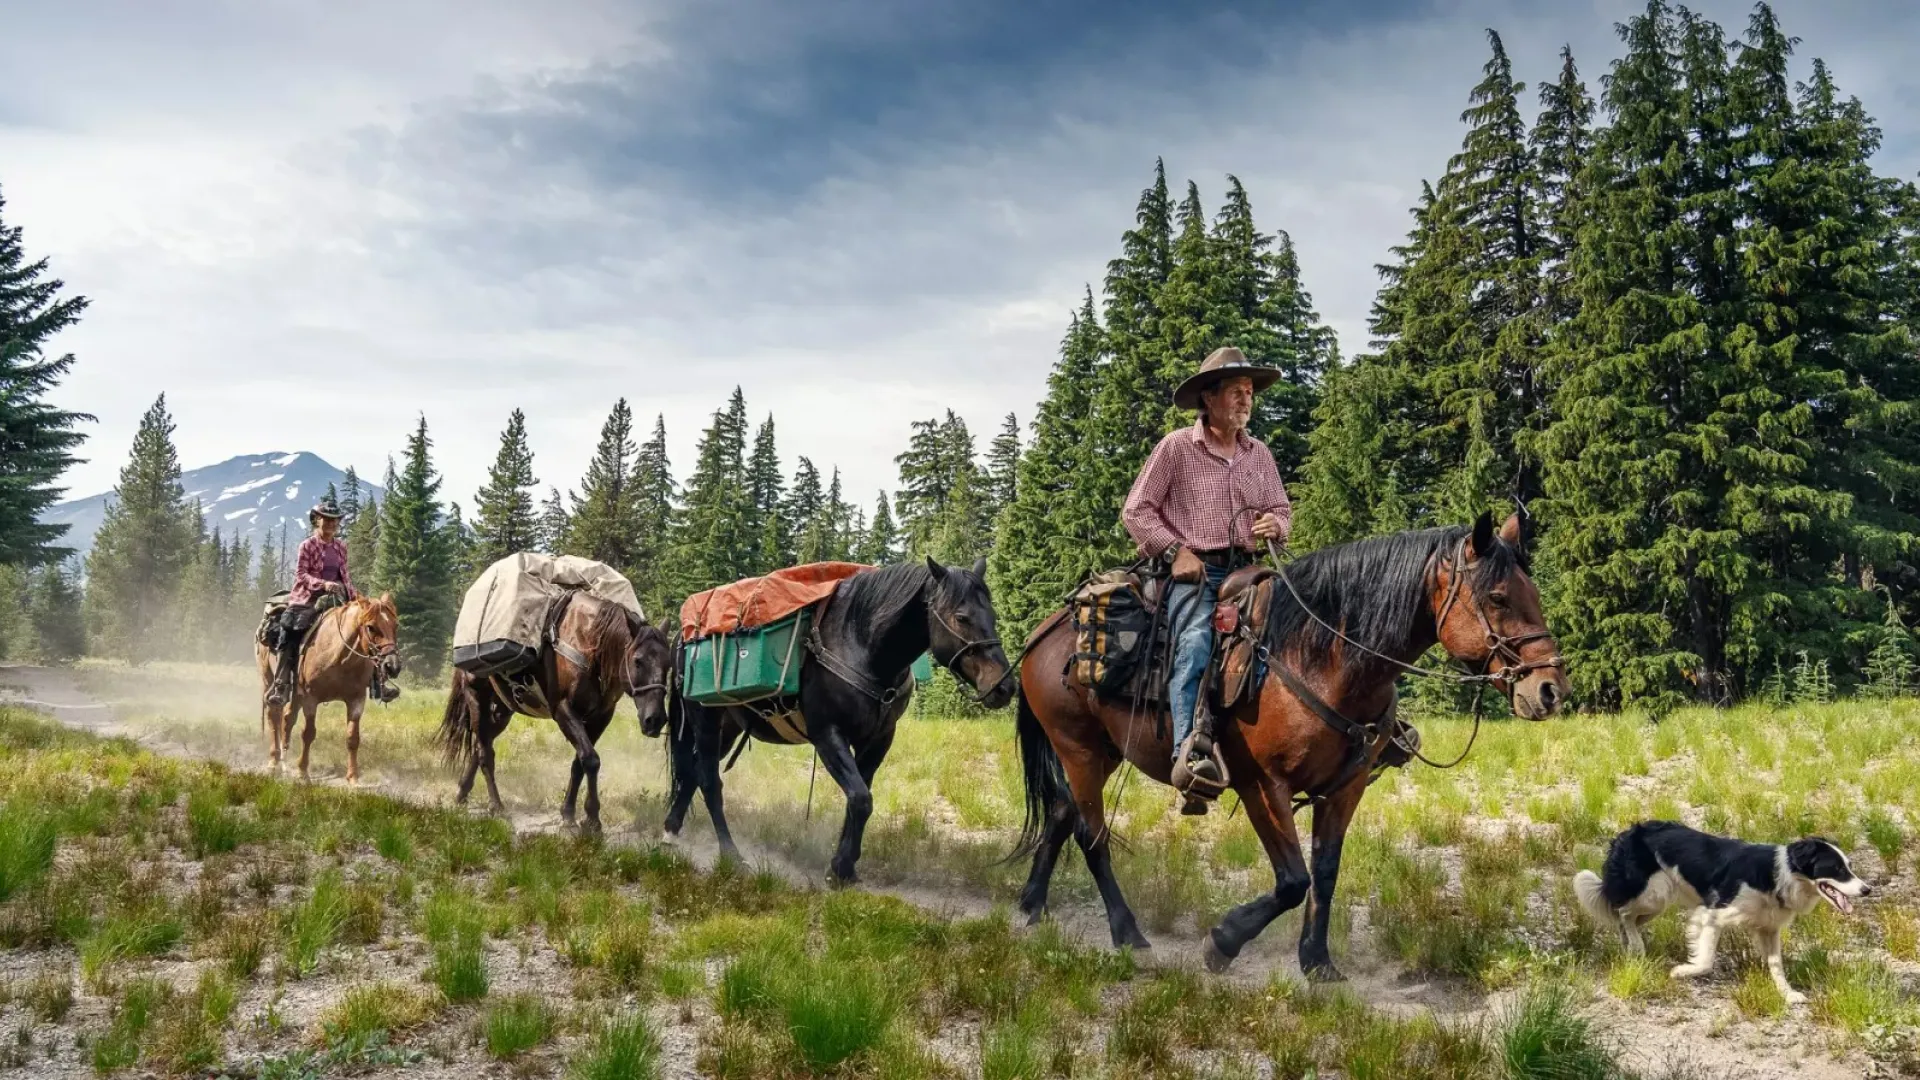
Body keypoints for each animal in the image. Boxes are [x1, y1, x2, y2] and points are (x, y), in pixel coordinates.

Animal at [257, 591, 399, 776]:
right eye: (371, 627)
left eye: (395, 626)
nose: (392, 665)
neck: (339, 657)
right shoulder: (311, 698)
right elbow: (308, 733)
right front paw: (303, 772)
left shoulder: (356, 699)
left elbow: (353, 738)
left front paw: (353, 777)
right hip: (269, 681)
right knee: (273, 715)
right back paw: (273, 762)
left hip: (296, 694)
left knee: (287, 719)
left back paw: (284, 761)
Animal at [435, 588, 675, 834]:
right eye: (638, 661)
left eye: (669, 664)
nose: (655, 720)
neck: (590, 647)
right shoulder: (563, 711)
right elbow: (591, 759)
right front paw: (592, 818)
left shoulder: (601, 717)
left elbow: (579, 763)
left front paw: (569, 814)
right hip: (476, 696)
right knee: (485, 751)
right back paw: (496, 807)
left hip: (504, 709)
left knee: (481, 743)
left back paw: (462, 792)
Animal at [660, 553, 1021, 883]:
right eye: (961, 617)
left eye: (992, 614)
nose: (1004, 686)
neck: (862, 647)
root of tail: (682, 638)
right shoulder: (828, 735)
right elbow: (860, 799)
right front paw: (841, 868)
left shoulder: (879, 740)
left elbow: (858, 800)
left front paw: (844, 864)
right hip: (705, 721)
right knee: (709, 780)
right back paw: (731, 855)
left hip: (730, 727)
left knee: (692, 773)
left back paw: (670, 831)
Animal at [1013, 511, 1566, 976]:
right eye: (1497, 598)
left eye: (1533, 594)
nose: (1551, 690)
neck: (1321, 658)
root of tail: (1047, 630)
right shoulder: (1262, 785)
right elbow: (1293, 880)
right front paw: (1223, 941)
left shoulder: (1345, 788)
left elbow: (1324, 872)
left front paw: (1317, 961)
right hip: (1079, 749)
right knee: (1091, 836)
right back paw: (1127, 933)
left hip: (1104, 752)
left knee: (1061, 814)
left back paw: (1030, 906)